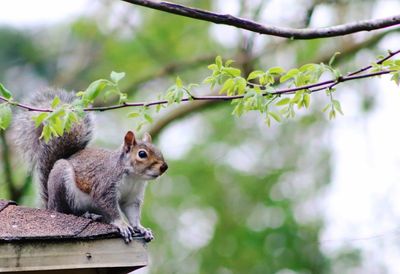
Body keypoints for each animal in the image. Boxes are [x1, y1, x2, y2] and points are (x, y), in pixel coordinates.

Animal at [12, 88, 167, 242]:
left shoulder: (132, 197)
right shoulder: (105, 185)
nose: (164, 167)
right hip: (62, 185)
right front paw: (122, 225)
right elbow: (110, 207)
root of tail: (49, 204)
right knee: (67, 211)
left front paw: (141, 228)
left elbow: (133, 213)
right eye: (142, 154)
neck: (133, 177)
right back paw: (87, 215)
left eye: (159, 150)